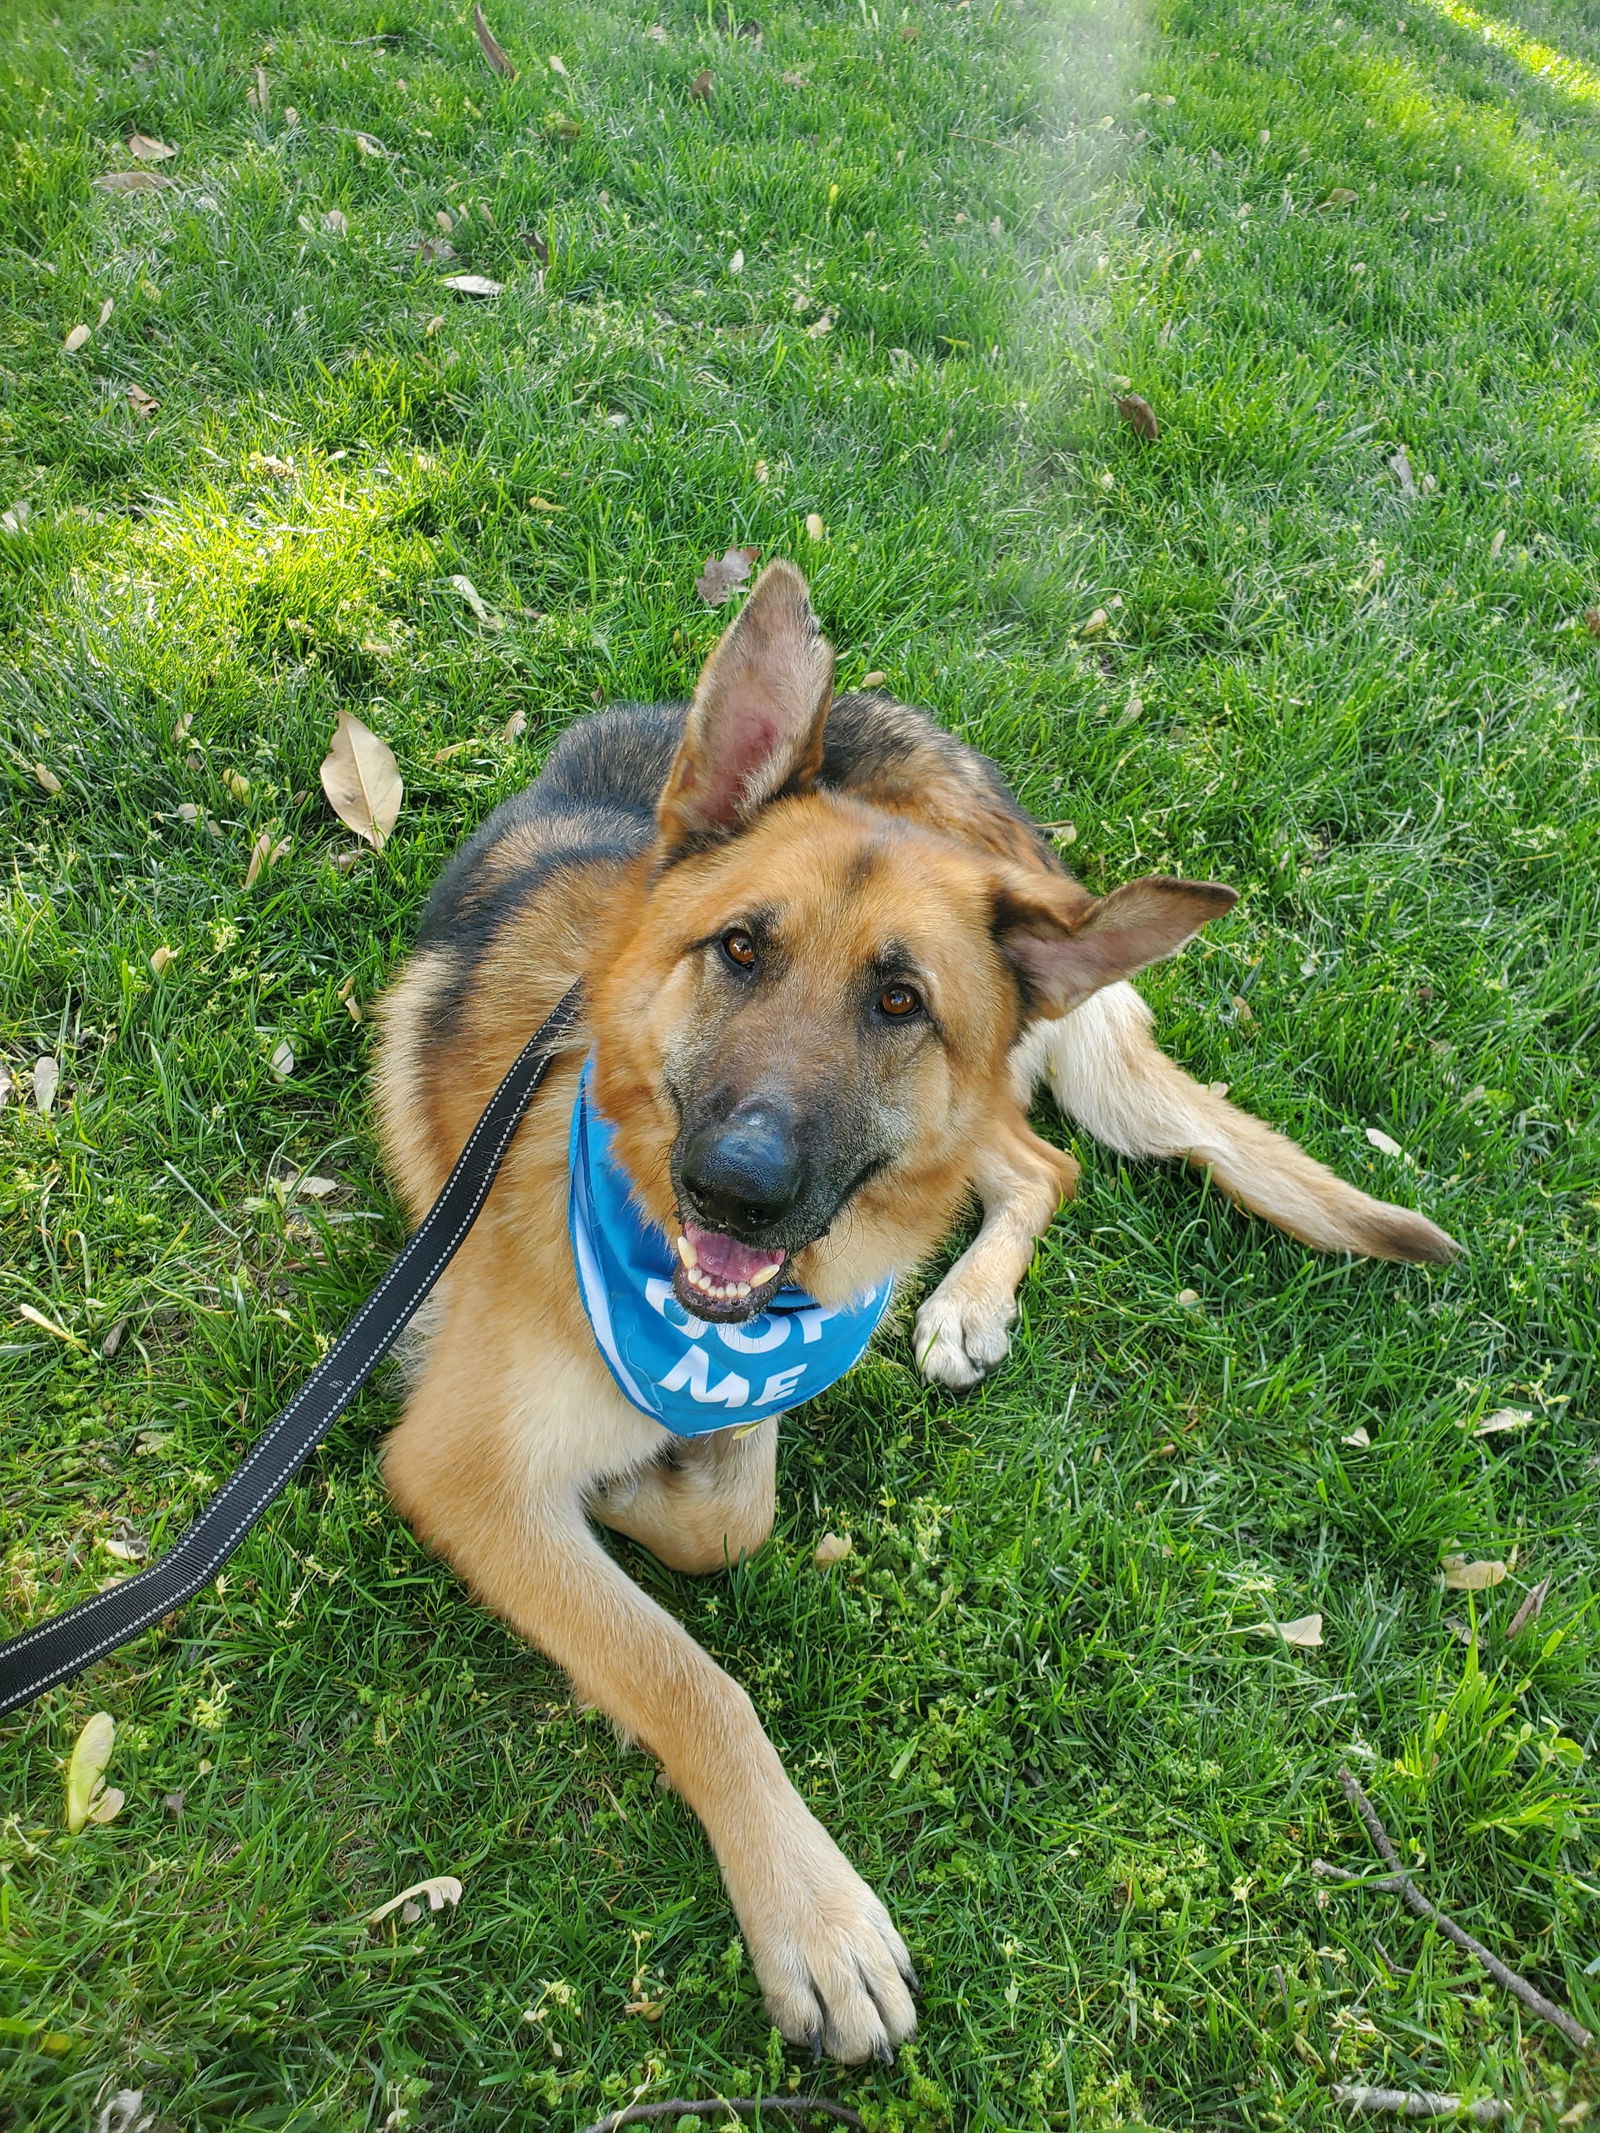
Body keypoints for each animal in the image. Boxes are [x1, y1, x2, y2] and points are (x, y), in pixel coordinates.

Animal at [373, 567, 1450, 2064]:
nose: (738, 1185)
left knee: (1039, 1162)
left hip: (972, 1100)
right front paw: (812, 1919)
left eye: (898, 1000)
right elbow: (693, 1663)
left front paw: (653, 1479)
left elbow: (729, 1524)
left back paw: (963, 1306)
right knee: (1032, 1161)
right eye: (740, 949)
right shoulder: (461, 1470)